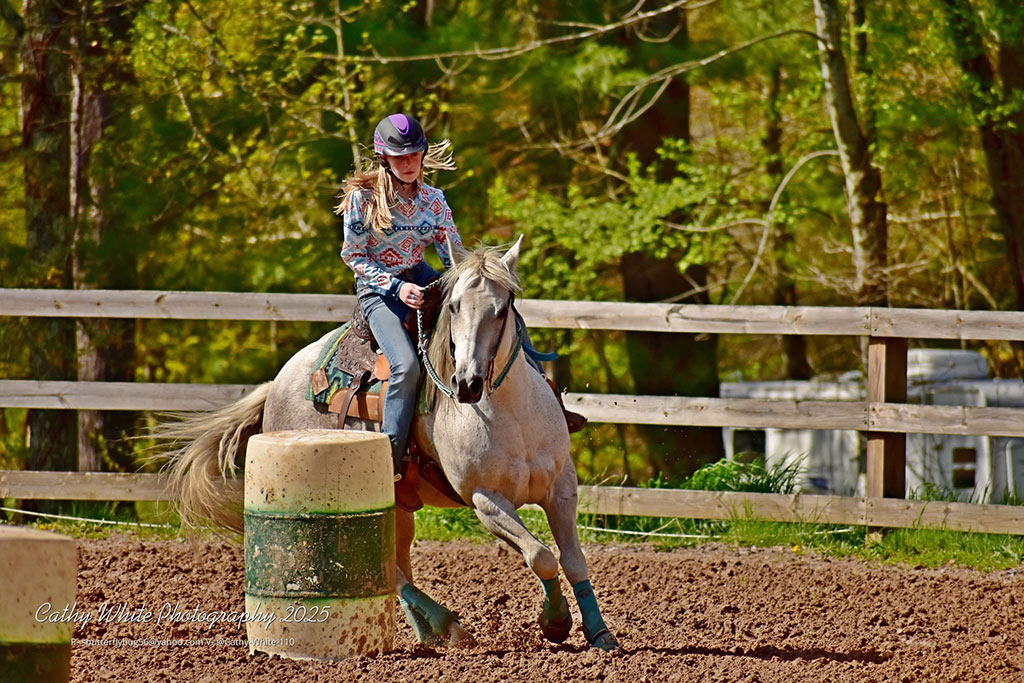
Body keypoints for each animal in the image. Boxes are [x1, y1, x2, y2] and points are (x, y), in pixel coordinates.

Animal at [157, 236, 619, 651]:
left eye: (502, 308)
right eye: (454, 306)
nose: (467, 384)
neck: (512, 415)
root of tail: (280, 382)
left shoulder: (562, 487)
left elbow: (572, 559)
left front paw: (599, 633)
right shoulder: (486, 501)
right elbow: (540, 555)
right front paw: (555, 623)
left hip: (398, 506)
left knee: (397, 563)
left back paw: (430, 634)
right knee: (388, 572)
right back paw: (448, 625)